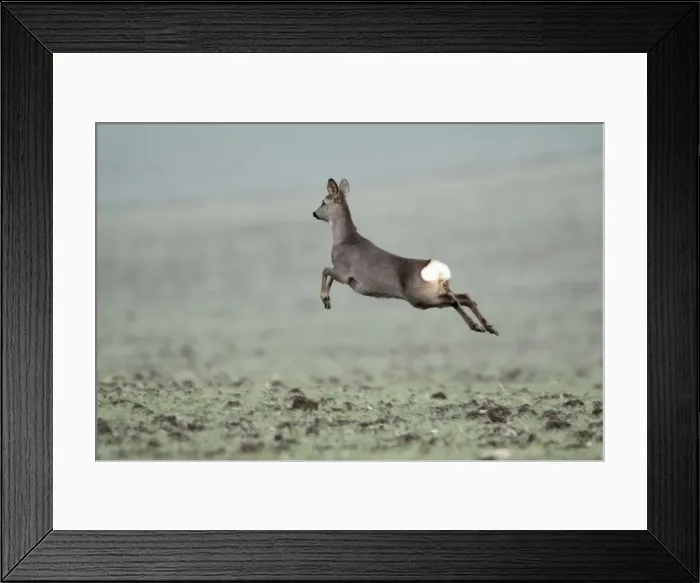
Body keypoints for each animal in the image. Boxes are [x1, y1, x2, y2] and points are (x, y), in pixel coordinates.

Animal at [312, 178, 499, 335]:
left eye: (323, 202)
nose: (314, 213)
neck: (344, 239)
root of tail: (437, 270)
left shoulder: (344, 272)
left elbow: (325, 270)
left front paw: (325, 298)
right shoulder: (341, 272)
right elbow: (328, 273)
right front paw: (327, 300)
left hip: (420, 297)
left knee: (454, 300)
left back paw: (477, 326)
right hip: (437, 290)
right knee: (466, 296)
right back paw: (490, 327)